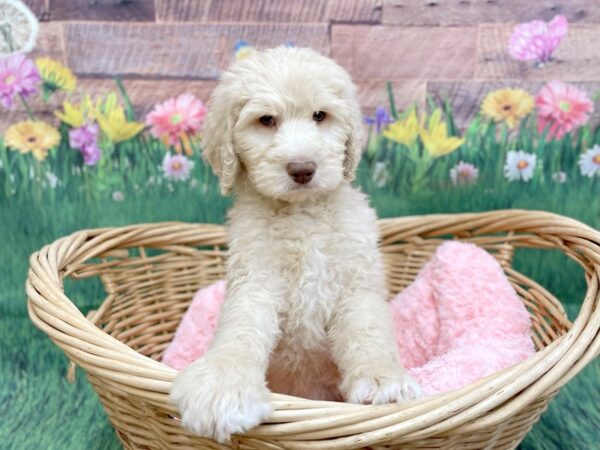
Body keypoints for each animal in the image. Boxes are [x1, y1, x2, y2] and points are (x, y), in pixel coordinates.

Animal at [169, 46, 422, 442]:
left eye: (320, 115)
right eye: (266, 120)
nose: (302, 169)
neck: (303, 214)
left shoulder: (356, 282)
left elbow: (368, 330)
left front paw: (384, 379)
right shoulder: (255, 278)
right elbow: (240, 329)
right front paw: (224, 386)